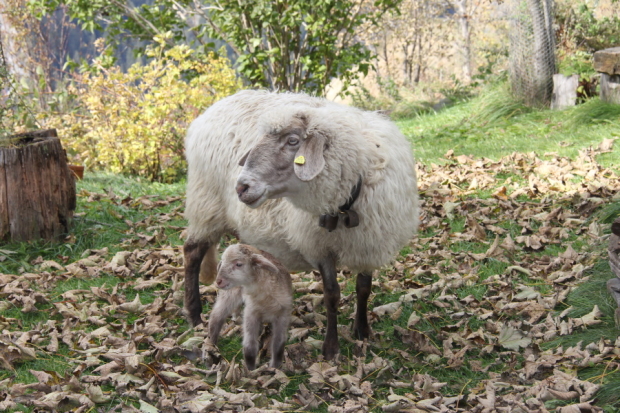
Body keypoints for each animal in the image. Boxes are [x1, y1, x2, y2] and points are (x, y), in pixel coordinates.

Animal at [182, 89, 418, 358]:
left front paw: (362, 330)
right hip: (206, 204)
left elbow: (363, 288)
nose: (241, 187)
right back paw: (194, 314)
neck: (344, 204)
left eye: (293, 141)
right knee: (192, 252)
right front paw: (331, 347)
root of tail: (209, 111)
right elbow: (331, 294)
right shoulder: (319, 246)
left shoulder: (370, 242)